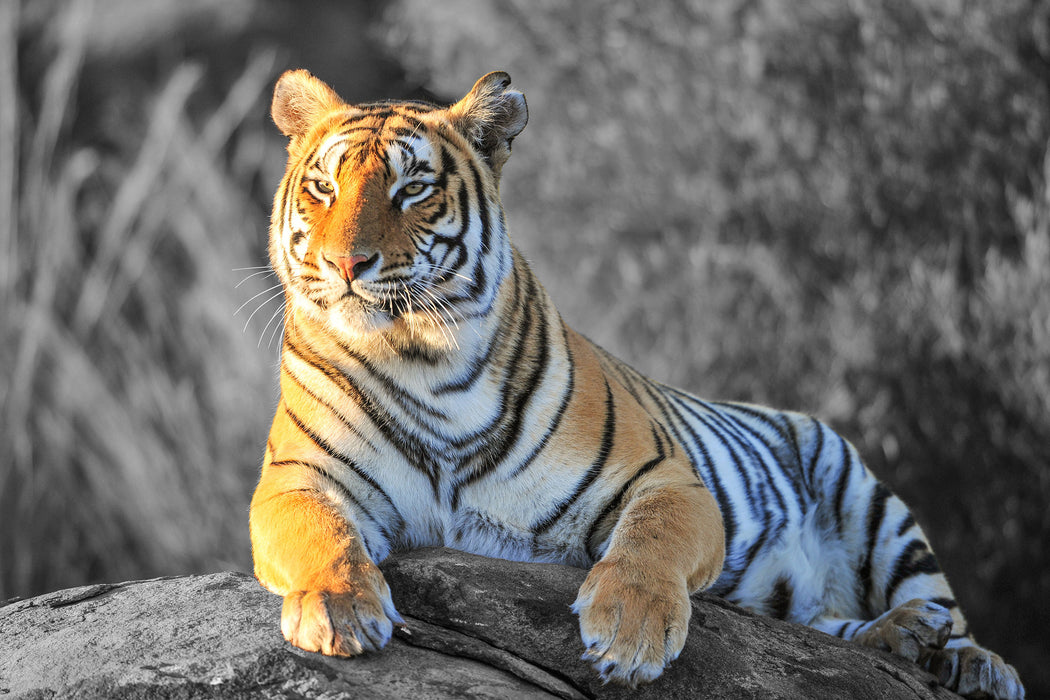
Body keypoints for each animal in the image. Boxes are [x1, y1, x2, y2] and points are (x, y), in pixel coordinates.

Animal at [247, 67, 1024, 700]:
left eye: (412, 189)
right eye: (323, 188)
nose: (346, 263)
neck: (422, 359)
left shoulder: (665, 478)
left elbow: (652, 540)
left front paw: (630, 631)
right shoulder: (296, 480)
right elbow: (321, 535)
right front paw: (340, 608)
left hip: (870, 500)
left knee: (939, 604)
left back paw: (969, 660)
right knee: (827, 625)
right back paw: (902, 638)